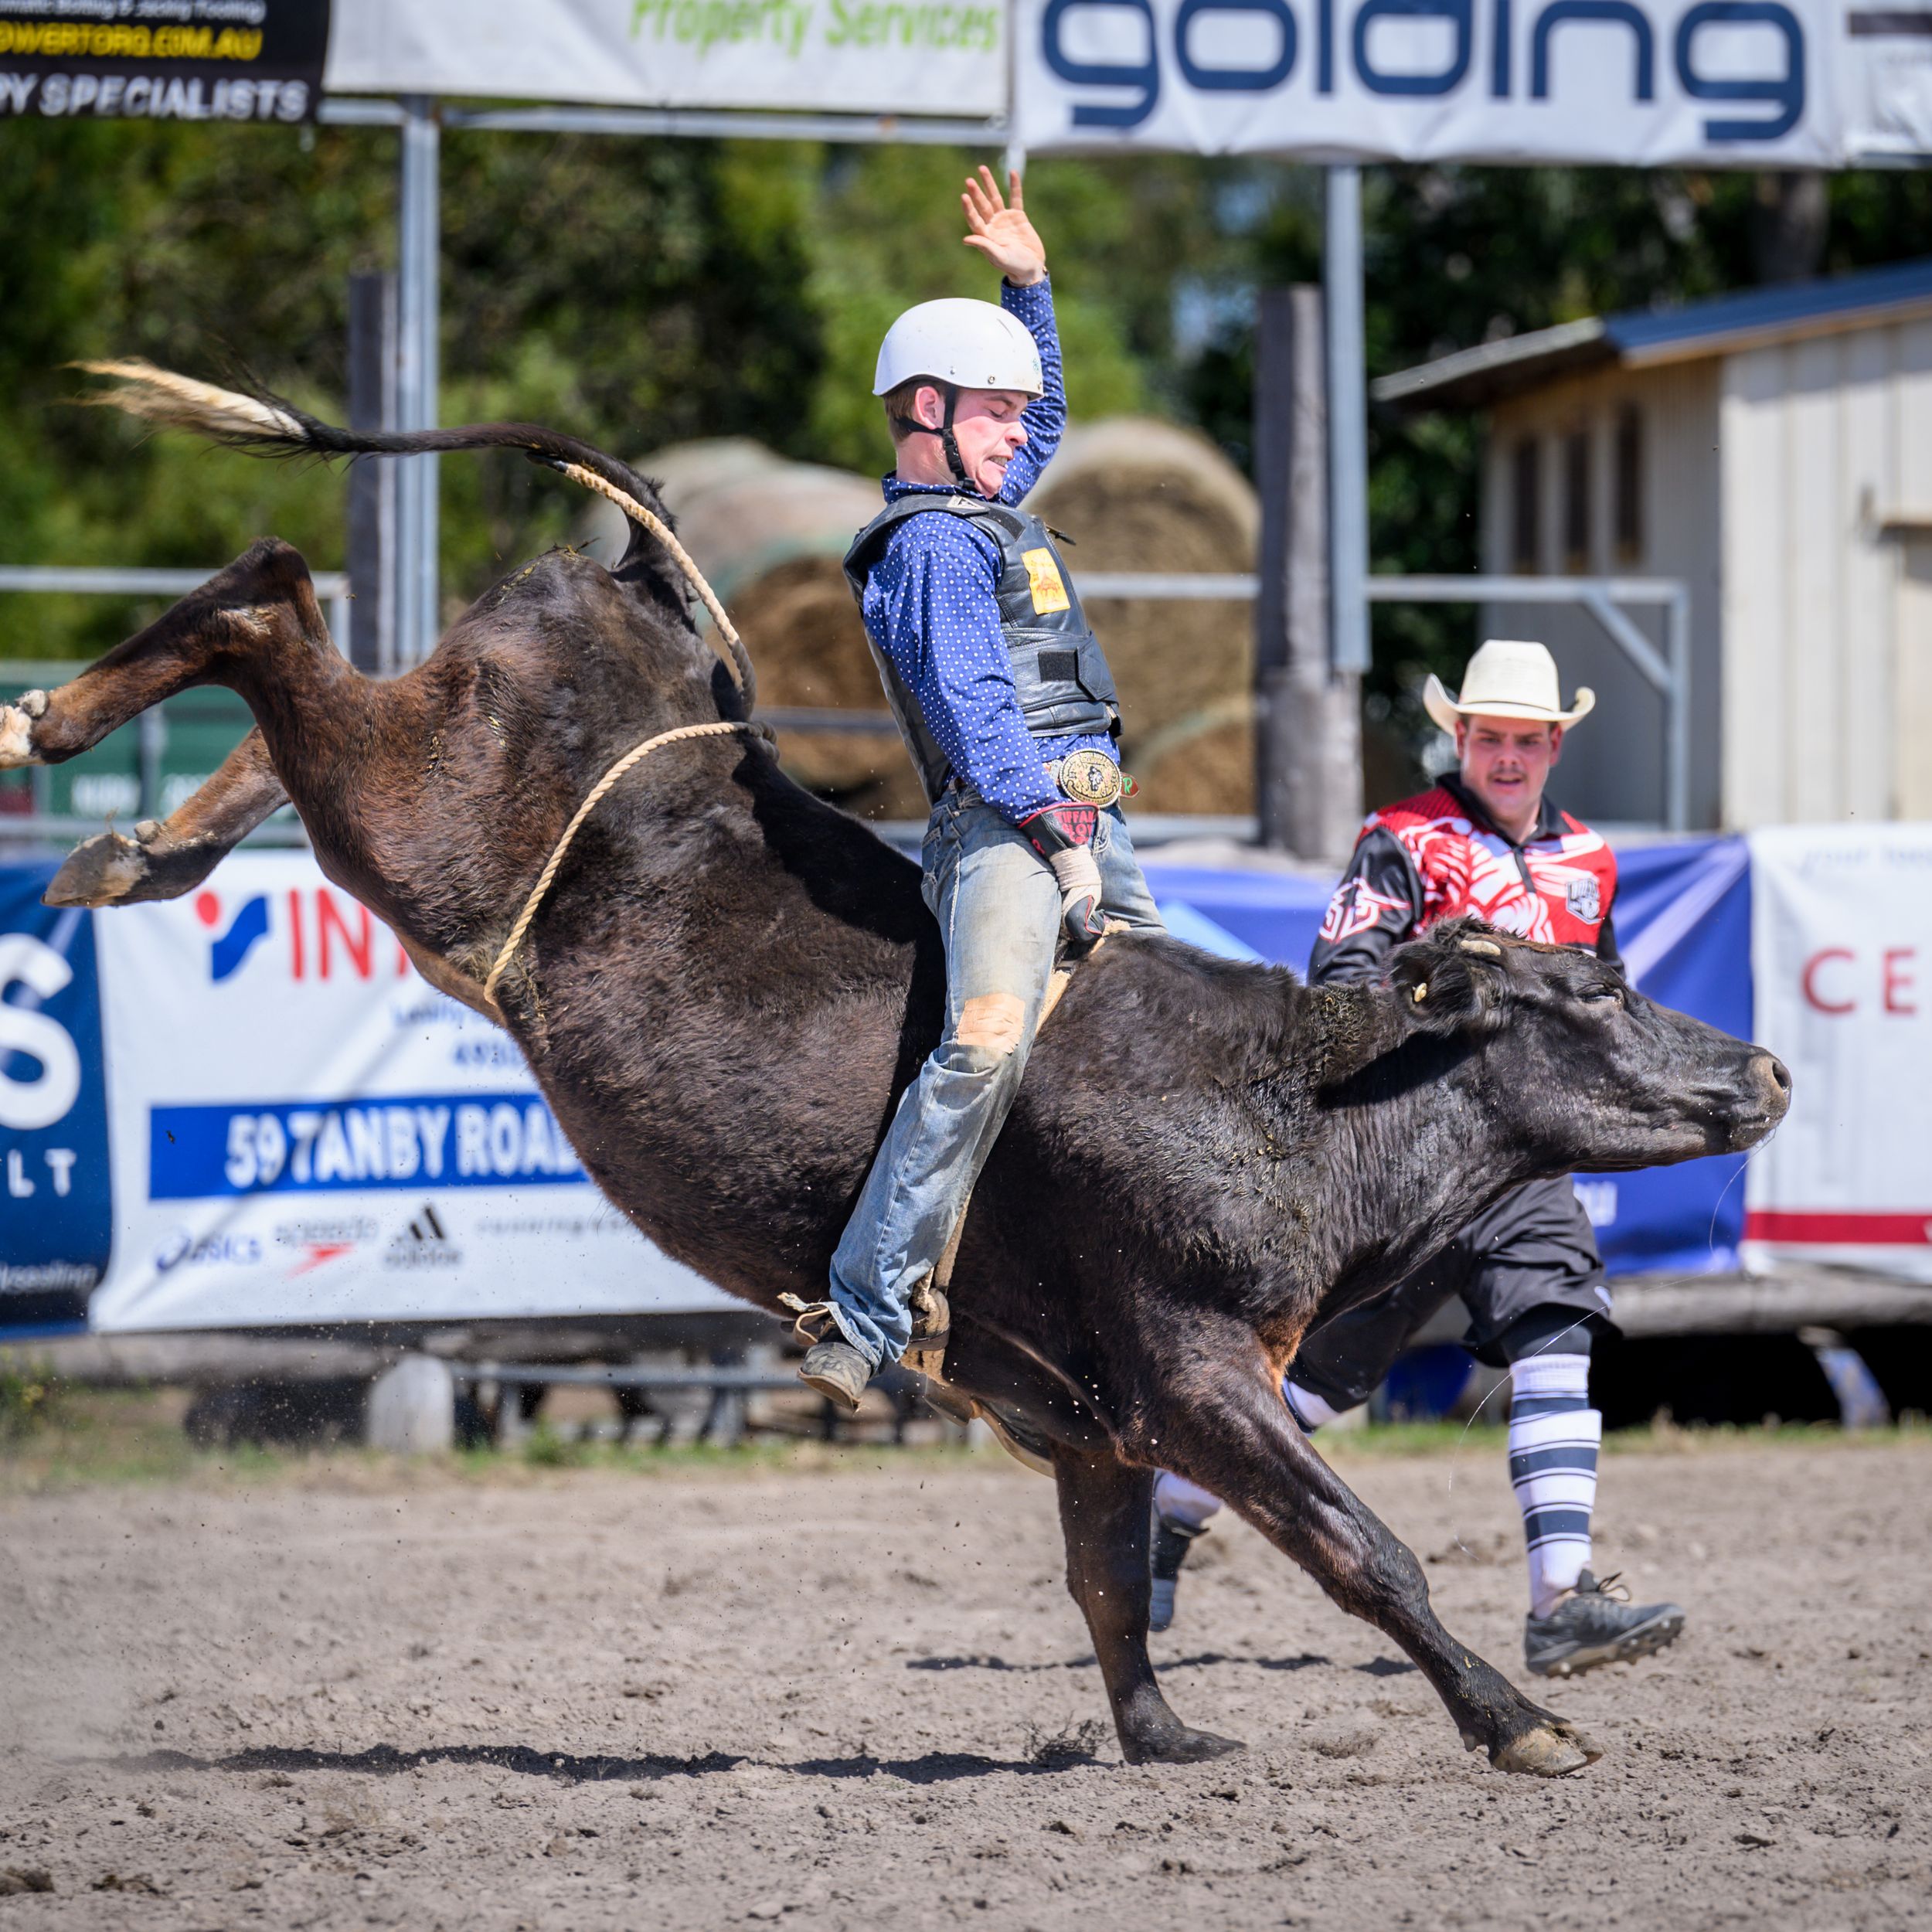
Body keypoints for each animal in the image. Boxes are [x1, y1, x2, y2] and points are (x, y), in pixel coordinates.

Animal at [0, 365, 1790, 1778]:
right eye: (1590, 986)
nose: (1765, 1067)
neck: (1292, 1101)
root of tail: (638, 590)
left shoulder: (1096, 1413)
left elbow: (1106, 1575)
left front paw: (1160, 1734)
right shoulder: (1191, 1369)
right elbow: (1362, 1548)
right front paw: (1521, 1721)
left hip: (408, 785)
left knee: (286, 684)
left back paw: (136, 847)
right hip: (419, 816)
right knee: (272, 594)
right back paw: (57, 723)